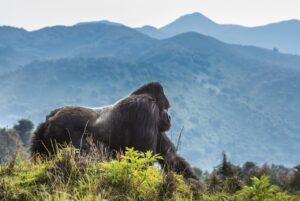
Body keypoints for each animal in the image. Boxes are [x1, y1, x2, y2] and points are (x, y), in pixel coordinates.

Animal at [30, 82, 198, 180]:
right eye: (166, 108)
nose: (169, 118)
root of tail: (49, 119)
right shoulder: (147, 110)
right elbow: (142, 157)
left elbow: (171, 158)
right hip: (61, 130)